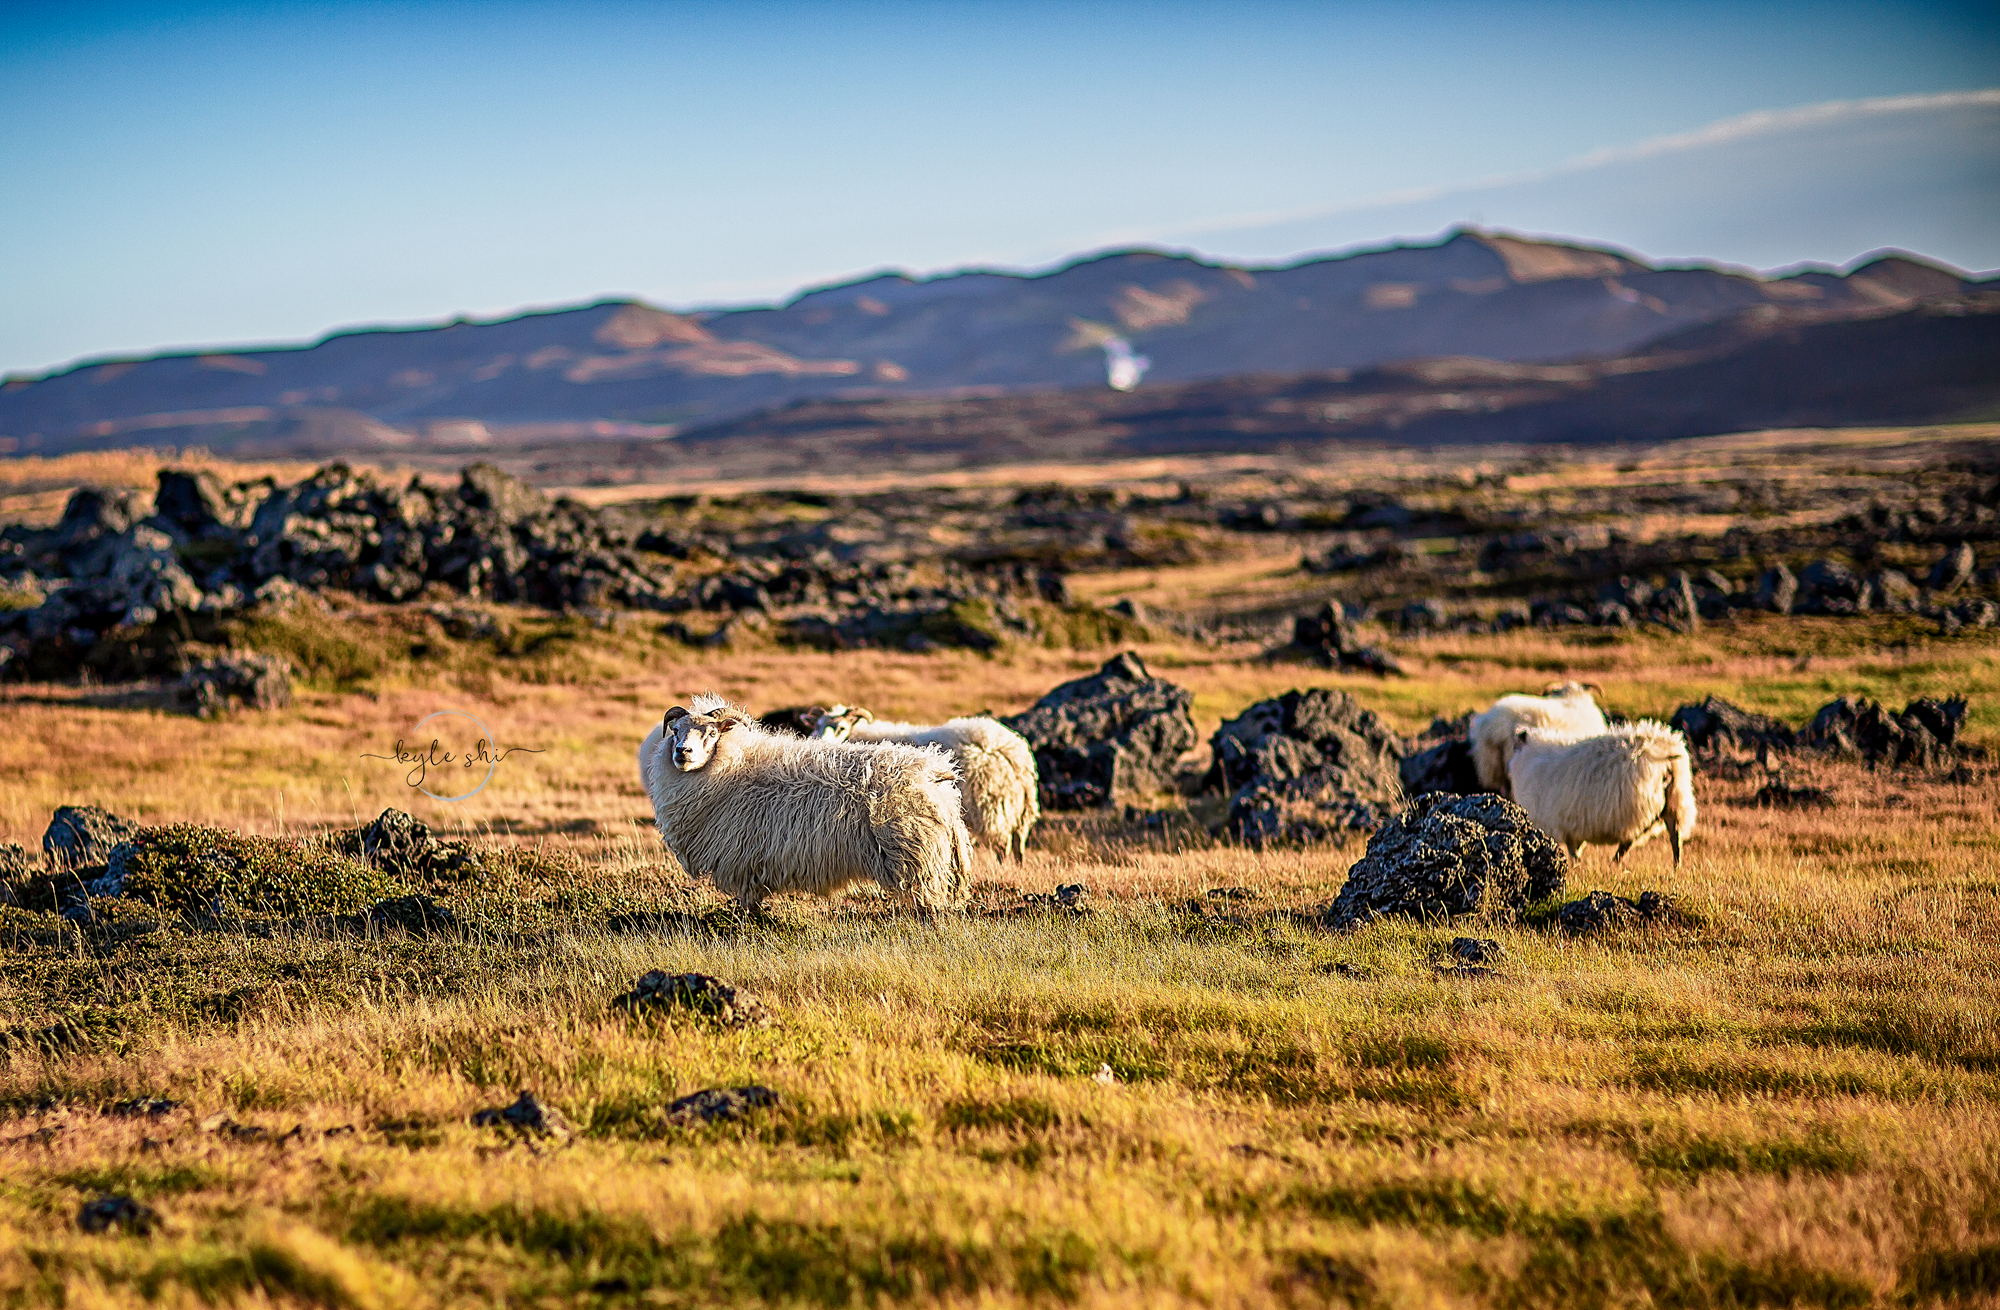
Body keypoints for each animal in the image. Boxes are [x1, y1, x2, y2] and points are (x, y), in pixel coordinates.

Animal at [636, 692, 972, 916]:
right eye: (675, 730)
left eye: (711, 732)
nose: (682, 752)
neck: (732, 765)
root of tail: (934, 774)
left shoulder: (742, 860)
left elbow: (748, 905)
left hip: (917, 858)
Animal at [808, 708, 1040, 860]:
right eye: (817, 725)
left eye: (841, 727)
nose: (818, 740)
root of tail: (1012, 751)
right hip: (1020, 809)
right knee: (1018, 846)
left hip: (992, 806)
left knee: (1003, 846)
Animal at [1504, 724, 1696, 868]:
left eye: (1514, 746)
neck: (1530, 757)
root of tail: (1664, 755)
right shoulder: (1572, 825)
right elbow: (1576, 848)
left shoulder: (1559, 823)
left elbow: (1573, 851)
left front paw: (1576, 867)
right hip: (1675, 800)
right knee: (1675, 836)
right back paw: (1676, 867)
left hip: (1637, 806)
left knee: (1630, 840)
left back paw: (1614, 864)